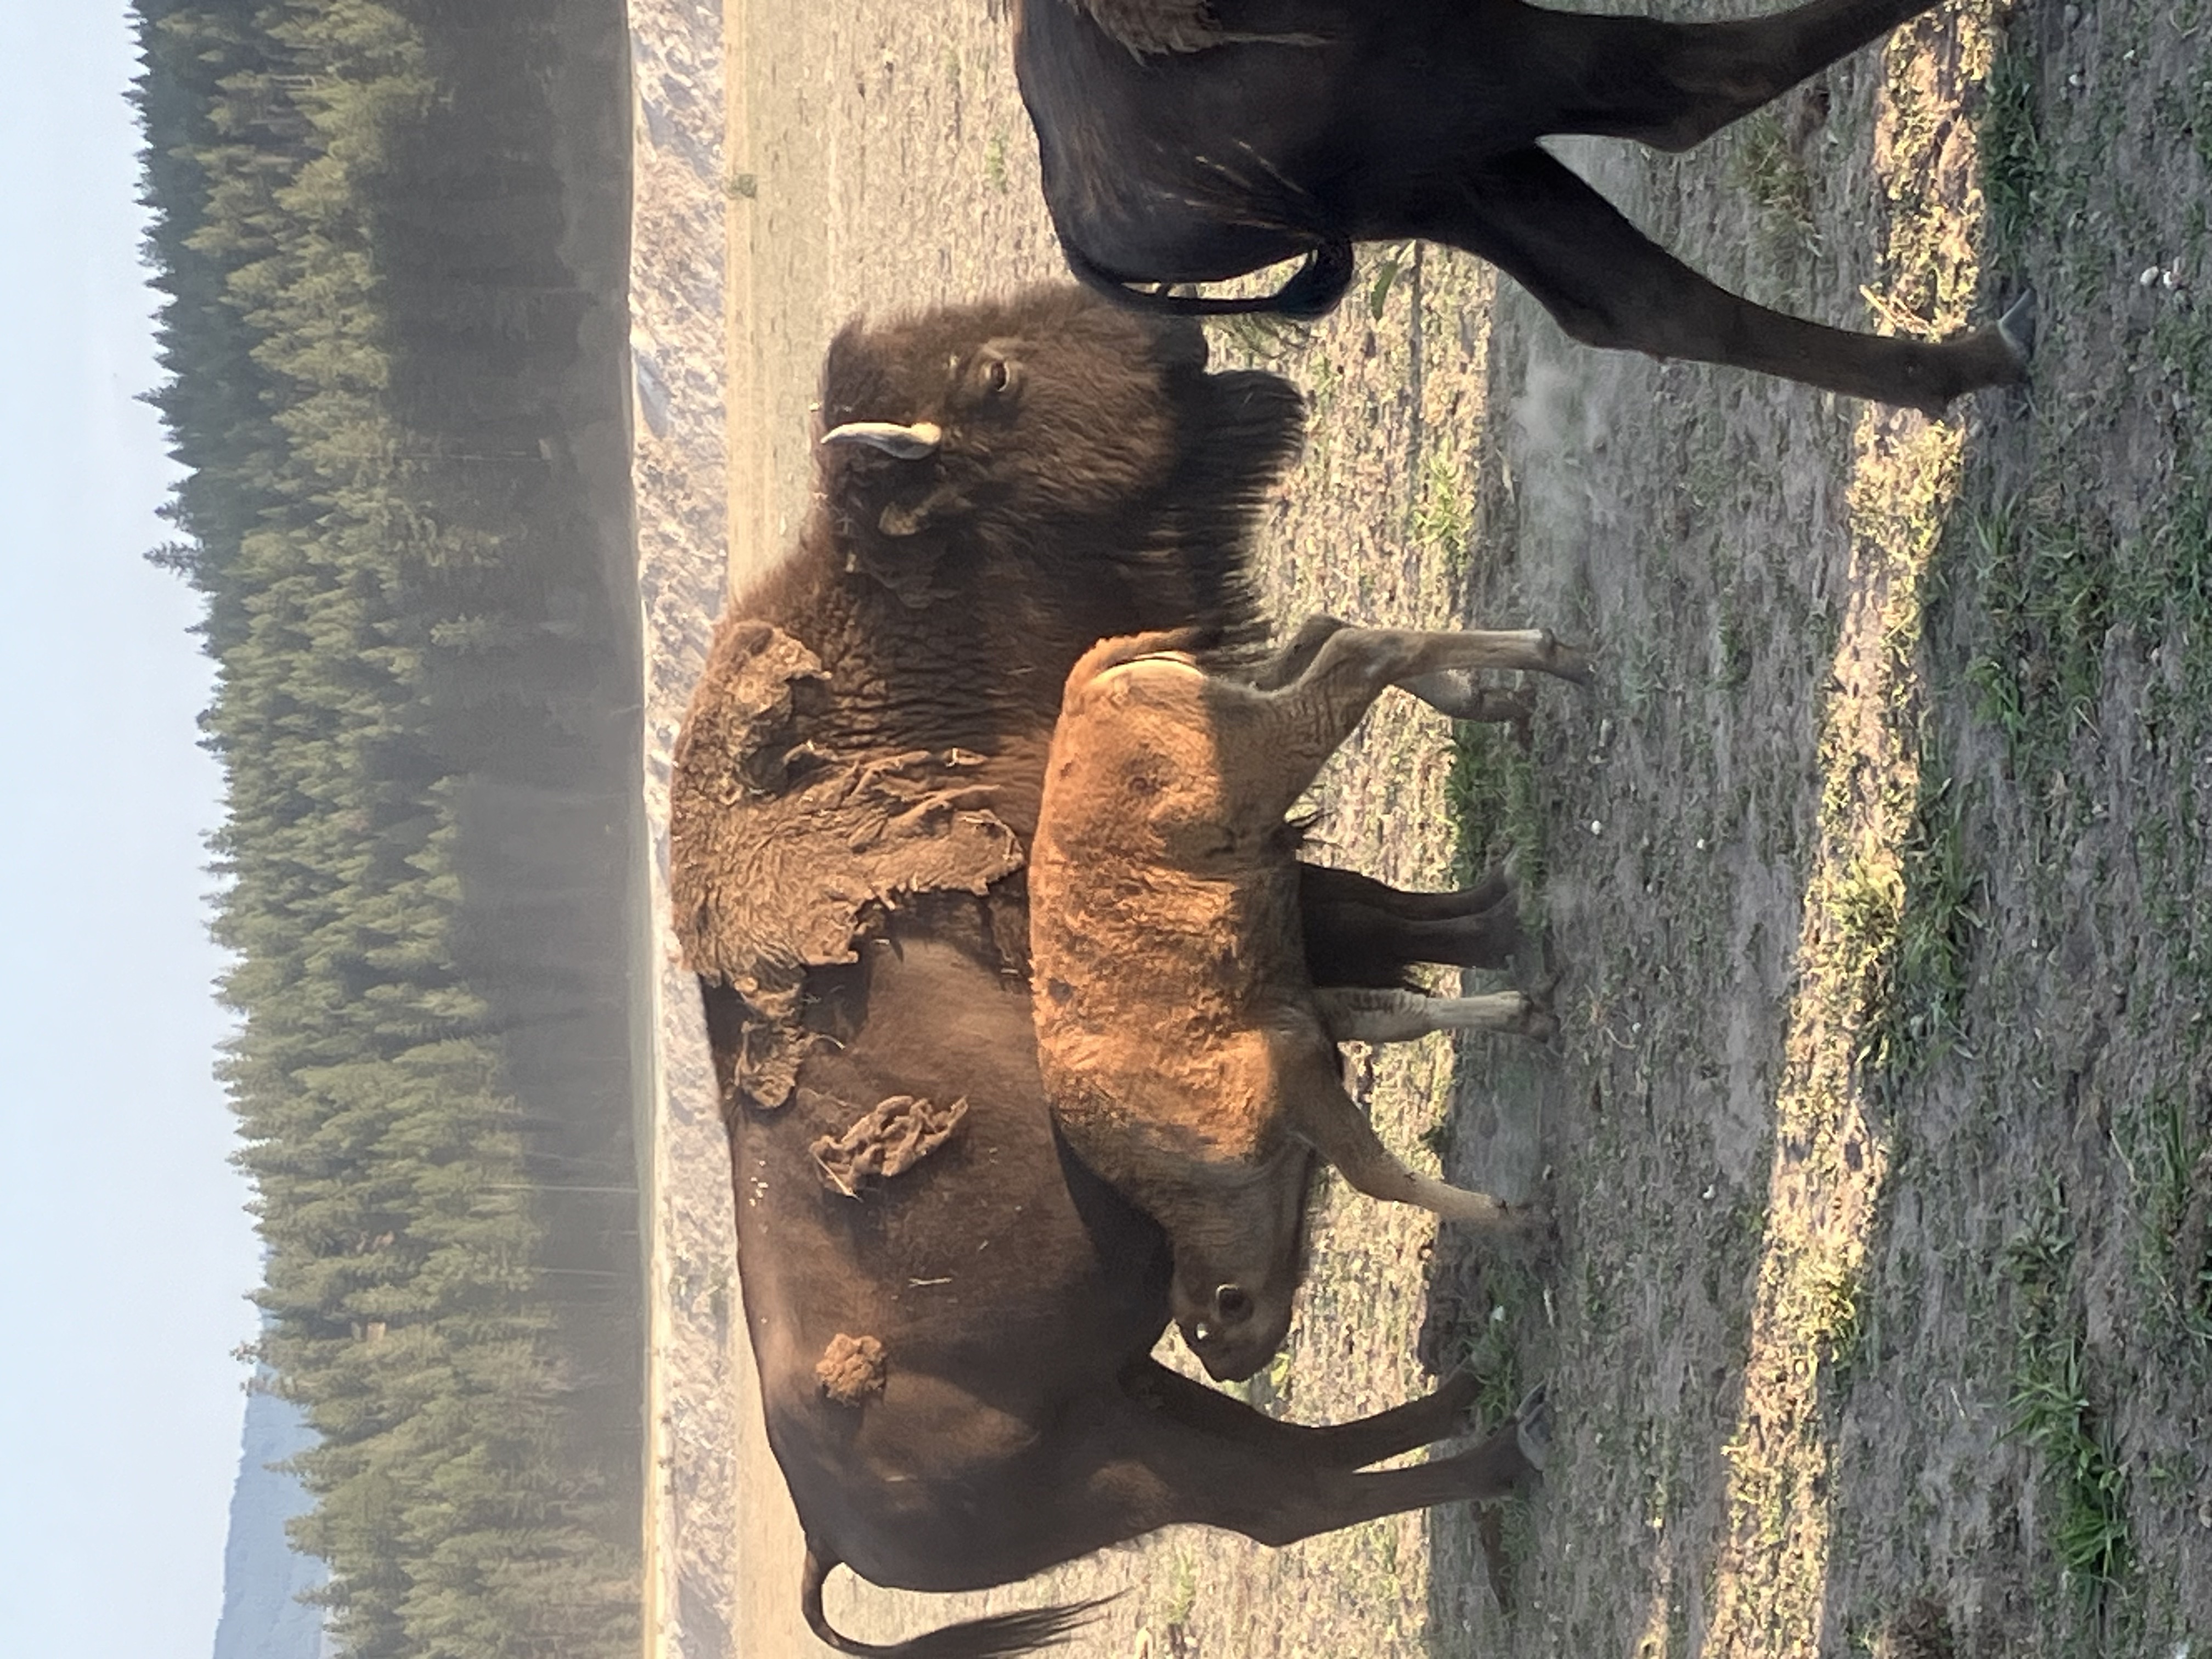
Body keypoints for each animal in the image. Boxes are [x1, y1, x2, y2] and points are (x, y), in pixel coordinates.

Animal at [669, 287, 1549, 1657]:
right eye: (995, 378)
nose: (1178, 341)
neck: (914, 718)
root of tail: (823, 1527)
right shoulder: (1247, 893)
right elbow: (1386, 930)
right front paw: (1511, 929)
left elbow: (1387, 927)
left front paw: (1501, 905)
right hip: (1129, 1457)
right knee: (1291, 1500)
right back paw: (1505, 1444)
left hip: (1140, 1396)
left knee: (1297, 1466)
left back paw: (1467, 1391)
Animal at [1013, 0, 2033, 413]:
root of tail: (1069, 191)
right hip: (1481, 80)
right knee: (1695, 86)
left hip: (1451, 176)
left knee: (1641, 302)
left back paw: (1977, 362)